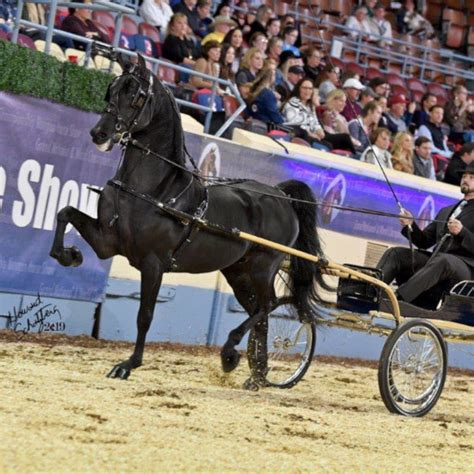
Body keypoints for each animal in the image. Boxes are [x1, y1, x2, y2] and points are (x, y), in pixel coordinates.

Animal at [49, 55, 330, 382]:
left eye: (136, 95)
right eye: (112, 89)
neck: (155, 190)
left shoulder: (153, 263)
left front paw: (128, 364)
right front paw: (69, 254)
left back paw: (233, 353)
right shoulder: (108, 242)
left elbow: (145, 315)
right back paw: (255, 373)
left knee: (267, 305)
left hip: (263, 266)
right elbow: (66, 212)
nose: (99, 133)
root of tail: (281, 195)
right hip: (237, 271)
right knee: (257, 312)